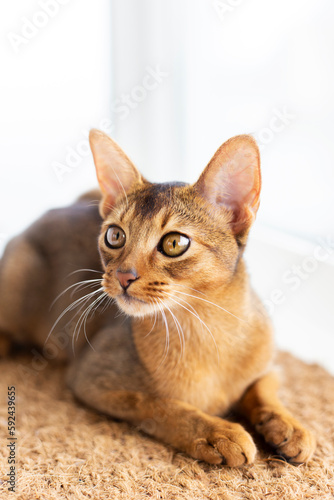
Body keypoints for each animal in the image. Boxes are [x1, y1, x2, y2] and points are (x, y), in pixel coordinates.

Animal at [0, 129, 316, 464]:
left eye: (174, 243)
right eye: (115, 235)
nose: (123, 276)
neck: (210, 331)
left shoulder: (271, 366)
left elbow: (264, 390)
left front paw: (290, 427)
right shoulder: (91, 378)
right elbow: (159, 404)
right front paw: (219, 433)